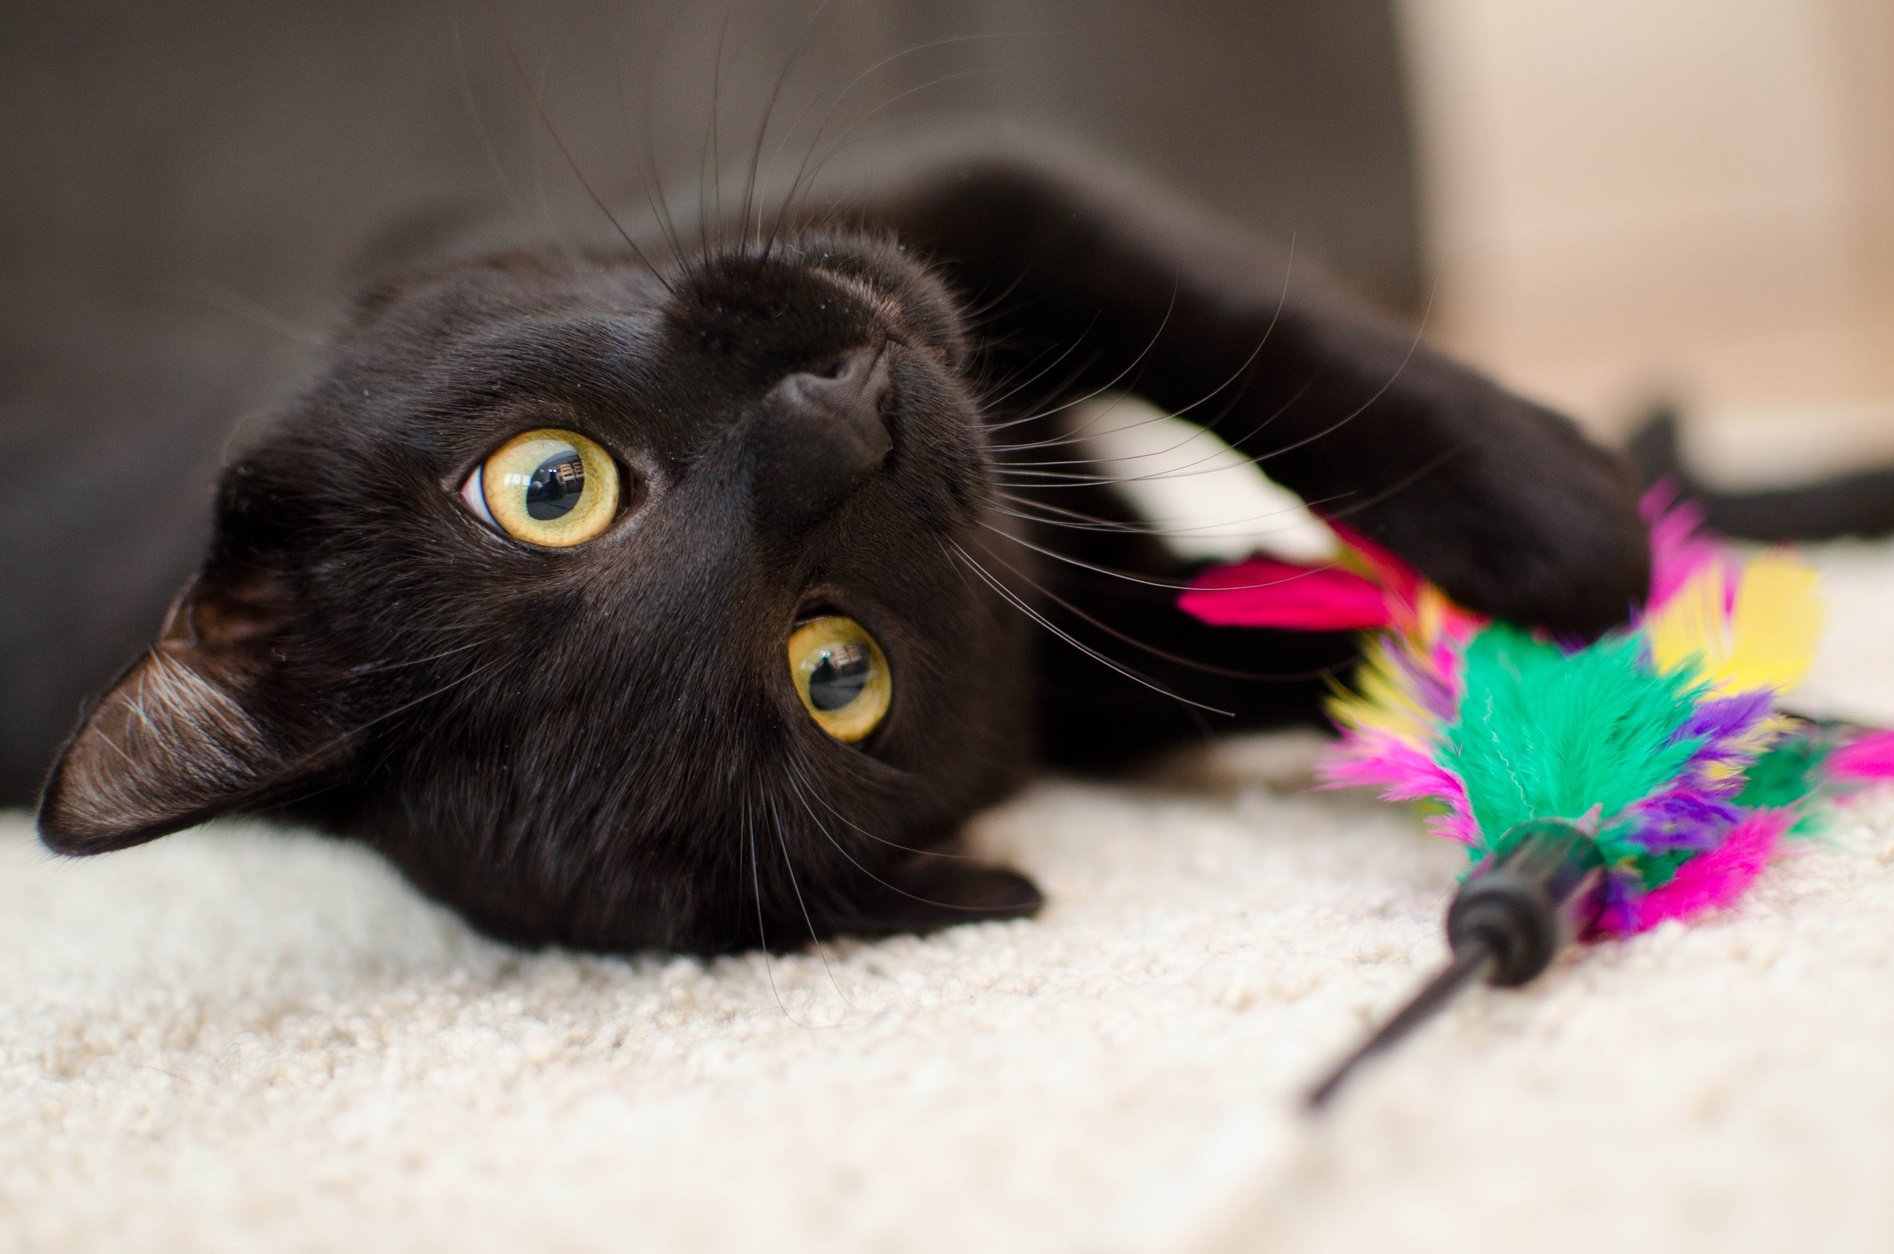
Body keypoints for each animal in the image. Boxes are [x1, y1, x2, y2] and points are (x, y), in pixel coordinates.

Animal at [36, 137, 1651, 958]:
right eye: (835, 675)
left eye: (548, 485)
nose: (842, 425)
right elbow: (1300, 639)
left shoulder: (974, 190)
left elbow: (1235, 318)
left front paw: (1564, 524)